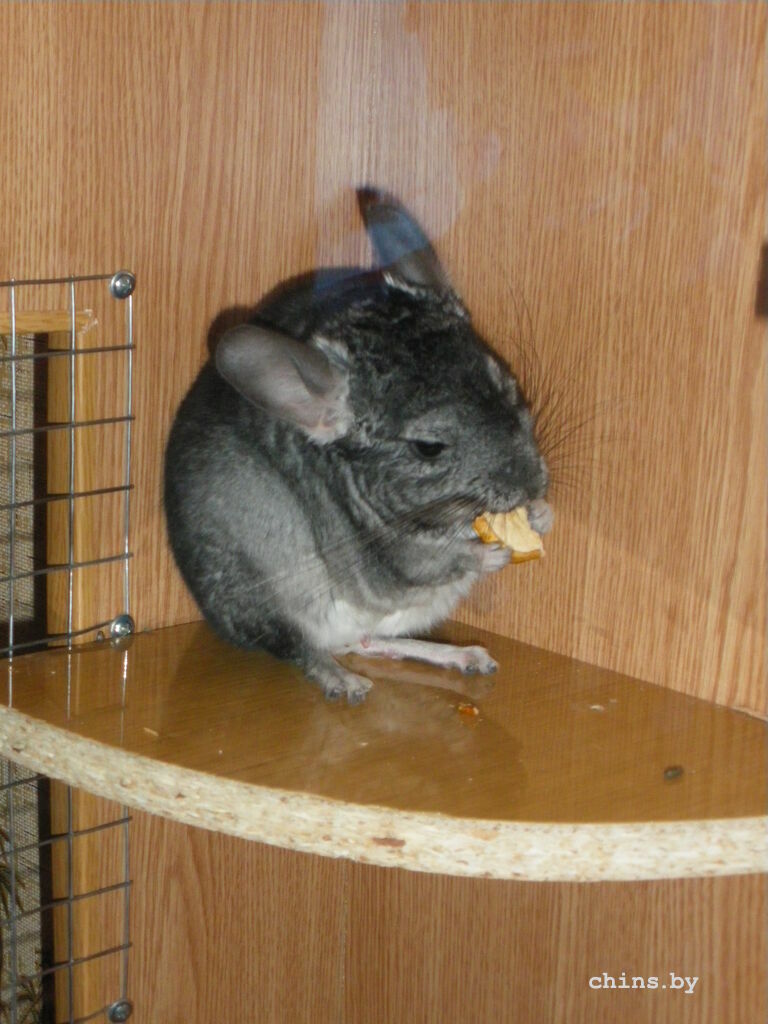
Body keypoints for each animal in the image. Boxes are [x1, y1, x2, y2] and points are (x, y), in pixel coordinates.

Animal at [164, 188, 551, 703]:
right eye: (428, 447)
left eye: (506, 384)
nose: (532, 484)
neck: (437, 518)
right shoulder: (387, 556)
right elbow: (427, 562)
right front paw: (488, 555)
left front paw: (542, 515)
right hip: (260, 596)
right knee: (301, 649)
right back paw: (343, 682)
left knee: (370, 641)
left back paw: (464, 655)